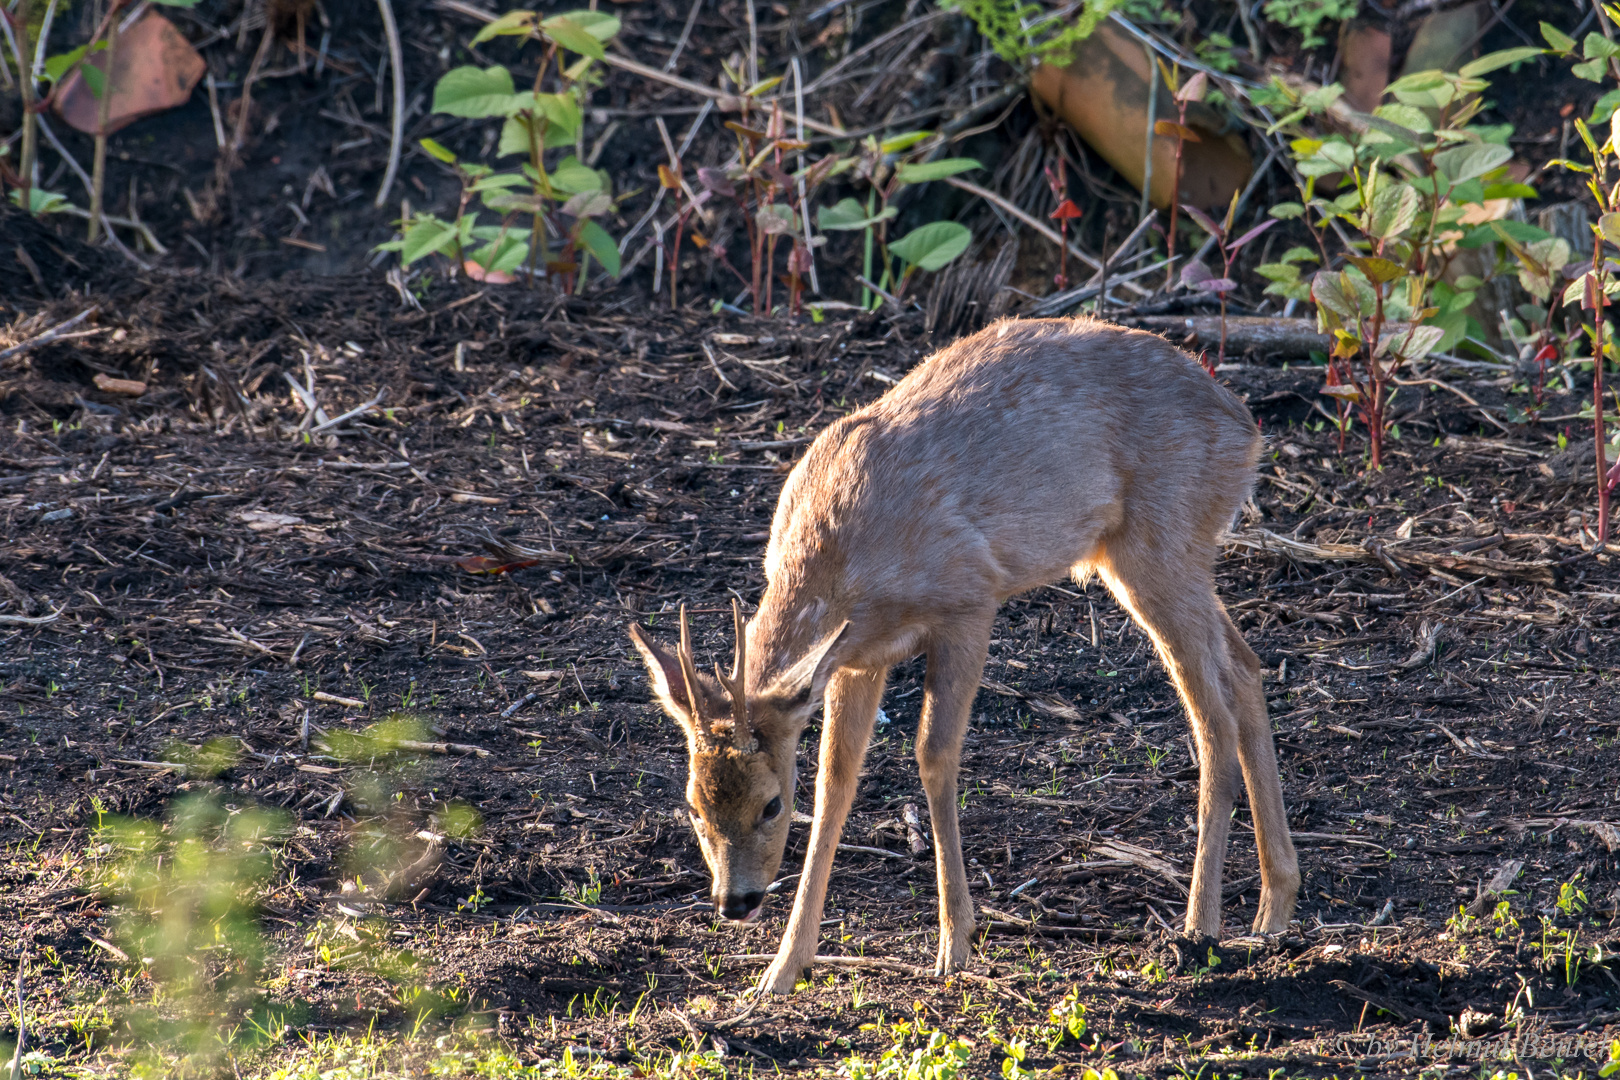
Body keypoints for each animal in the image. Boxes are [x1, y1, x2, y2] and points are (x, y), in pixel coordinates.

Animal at [625, 314, 1296, 997]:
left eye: (770, 804)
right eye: (695, 804)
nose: (735, 901)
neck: (849, 563)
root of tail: (1245, 427)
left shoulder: (970, 603)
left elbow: (933, 755)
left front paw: (956, 945)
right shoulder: (858, 658)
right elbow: (836, 781)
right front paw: (782, 970)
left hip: (1160, 544)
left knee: (1211, 713)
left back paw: (1200, 928)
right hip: (1151, 557)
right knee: (1244, 664)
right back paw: (1274, 907)